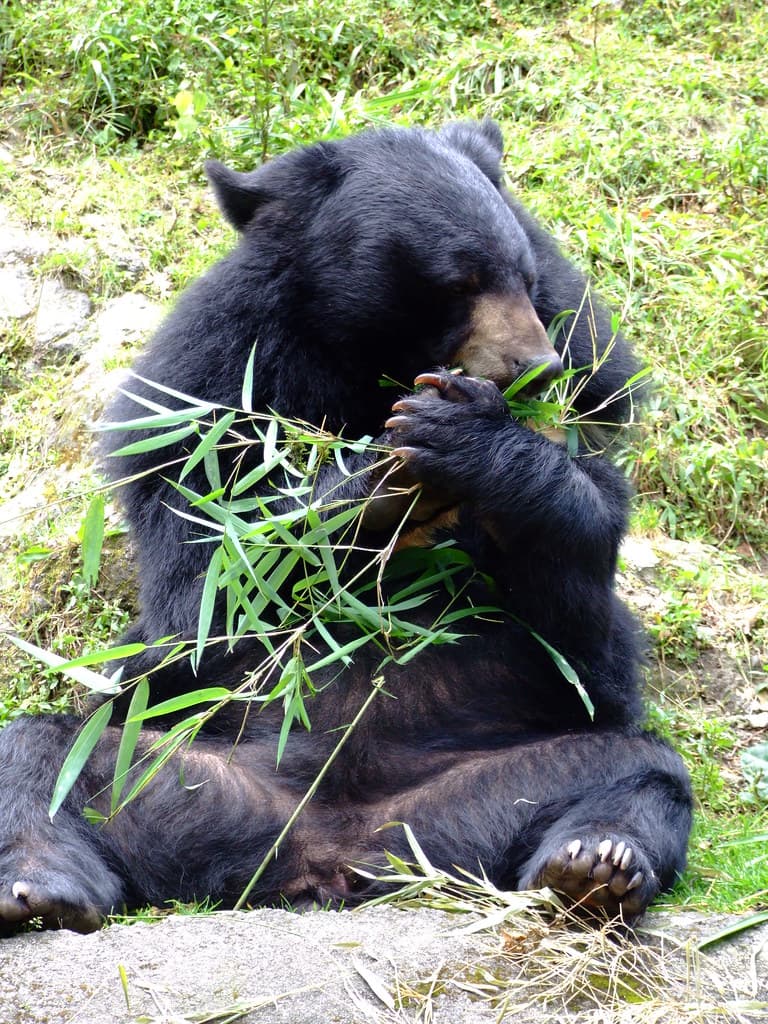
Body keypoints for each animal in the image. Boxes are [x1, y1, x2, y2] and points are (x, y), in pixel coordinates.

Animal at [0, 120, 692, 935]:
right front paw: (387, 479)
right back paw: (43, 888)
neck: (367, 366)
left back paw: (593, 868)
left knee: (637, 772)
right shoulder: (209, 388)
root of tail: (331, 855)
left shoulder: (594, 395)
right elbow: (205, 582)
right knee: (41, 756)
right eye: (460, 282)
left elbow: (584, 618)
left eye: (524, 277)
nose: (536, 368)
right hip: (166, 763)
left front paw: (465, 440)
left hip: (506, 780)